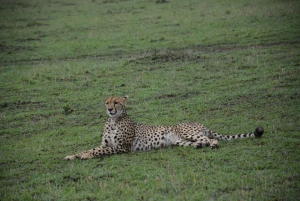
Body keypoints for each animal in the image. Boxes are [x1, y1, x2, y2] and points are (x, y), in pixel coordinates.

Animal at [63, 96, 262, 160]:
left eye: (117, 102)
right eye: (107, 102)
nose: (110, 109)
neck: (113, 121)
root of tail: (202, 124)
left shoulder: (121, 148)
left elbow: (97, 151)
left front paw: (84, 156)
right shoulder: (107, 144)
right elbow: (92, 148)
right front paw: (73, 155)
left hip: (187, 132)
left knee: (211, 139)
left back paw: (213, 145)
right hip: (180, 142)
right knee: (199, 143)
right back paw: (200, 146)